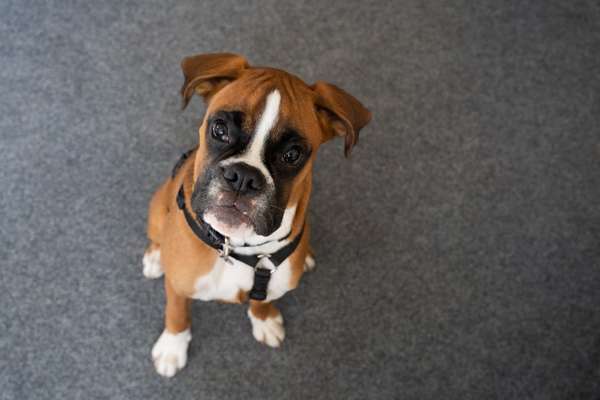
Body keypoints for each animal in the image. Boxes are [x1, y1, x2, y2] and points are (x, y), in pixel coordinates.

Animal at [144, 52, 372, 376]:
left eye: (292, 155)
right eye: (220, 129)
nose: (243, 177)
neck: (238, 248)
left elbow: (261, 300)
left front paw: (264, 319)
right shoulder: (178, 285)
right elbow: (176, 312)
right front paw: (172, 347)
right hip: (156, 207)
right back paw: (154, 257)